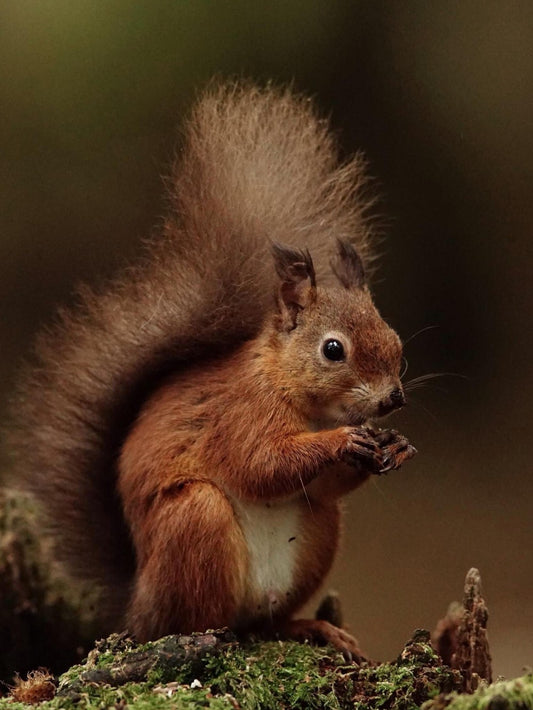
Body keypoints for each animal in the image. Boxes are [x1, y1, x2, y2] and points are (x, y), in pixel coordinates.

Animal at [7, 81, 416, 659]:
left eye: (397, 344)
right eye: (333, 350)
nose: (393, 398)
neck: (298, 395)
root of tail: (137, 603)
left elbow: (321, 487)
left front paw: (395, 446)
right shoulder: (240, 414)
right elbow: (259, 464)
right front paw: (342, 442)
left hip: (318, 534)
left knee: (269, 619)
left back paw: (309, 627)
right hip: (195, 520)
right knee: (200, 617)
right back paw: (205, 635)